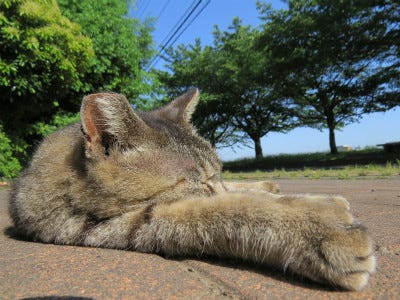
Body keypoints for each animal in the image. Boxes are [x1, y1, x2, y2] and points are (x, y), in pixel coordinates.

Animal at [8, 89, 376, 290]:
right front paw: (320, 225)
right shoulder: (107, 227)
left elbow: (235, 196)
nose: (218, 182)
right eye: (199, 182)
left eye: (214, 174)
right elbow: (219, 211)